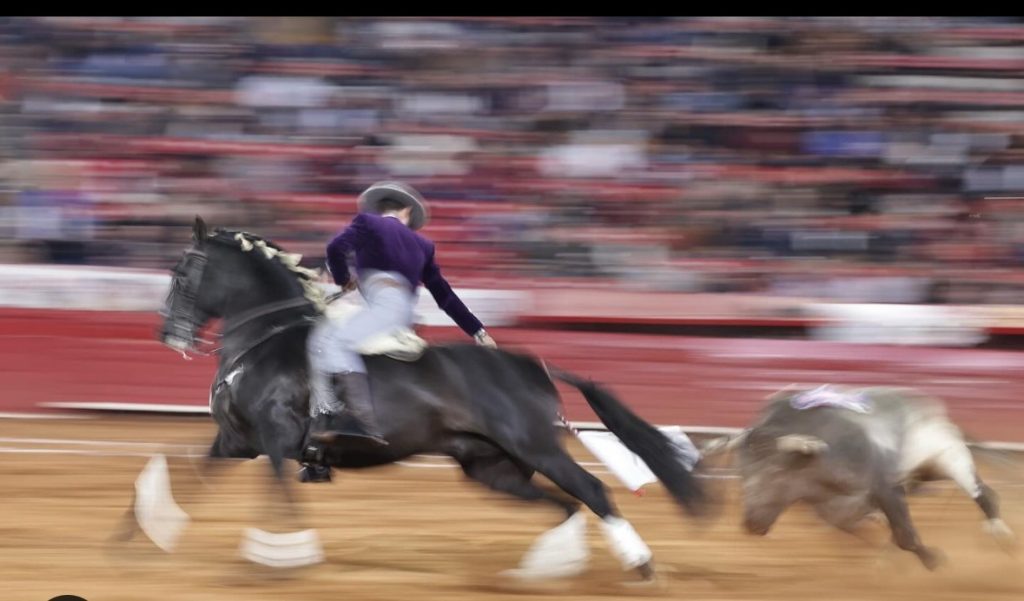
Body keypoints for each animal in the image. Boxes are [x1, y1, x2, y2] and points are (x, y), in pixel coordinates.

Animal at [119, 216, 708, 581]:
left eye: (181, 272)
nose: (168, 335)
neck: (266, 337)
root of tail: (529, 365)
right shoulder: (235, 442)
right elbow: (186, 475)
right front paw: (135, 536)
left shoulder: (277, 440)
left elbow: (279, 496)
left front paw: (285, 556)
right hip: (492, 467)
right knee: (563, 506)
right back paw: (546, 569)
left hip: (537, 447)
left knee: (592, 492)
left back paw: (640, 565)